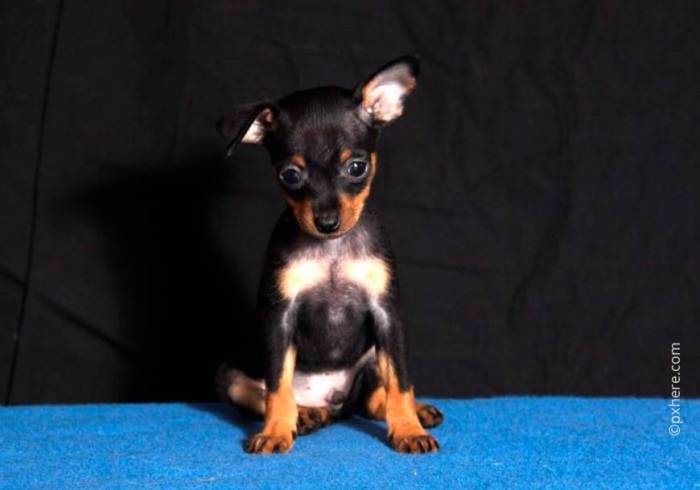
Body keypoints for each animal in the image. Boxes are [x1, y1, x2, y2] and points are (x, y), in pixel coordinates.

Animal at [216, 56, 443, 454]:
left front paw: (408, 429)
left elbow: (400, 383)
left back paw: (417, 411)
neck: (332, 248)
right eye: (290, 175)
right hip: (228, 374)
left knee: (373, 398)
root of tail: (331, 402)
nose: (326, 222)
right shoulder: (279, 319)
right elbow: (277, 386)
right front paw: (275, 431)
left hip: (371, 356)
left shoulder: (387, 317)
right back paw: (305, 415)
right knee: (265, 392)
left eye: (357, 167)